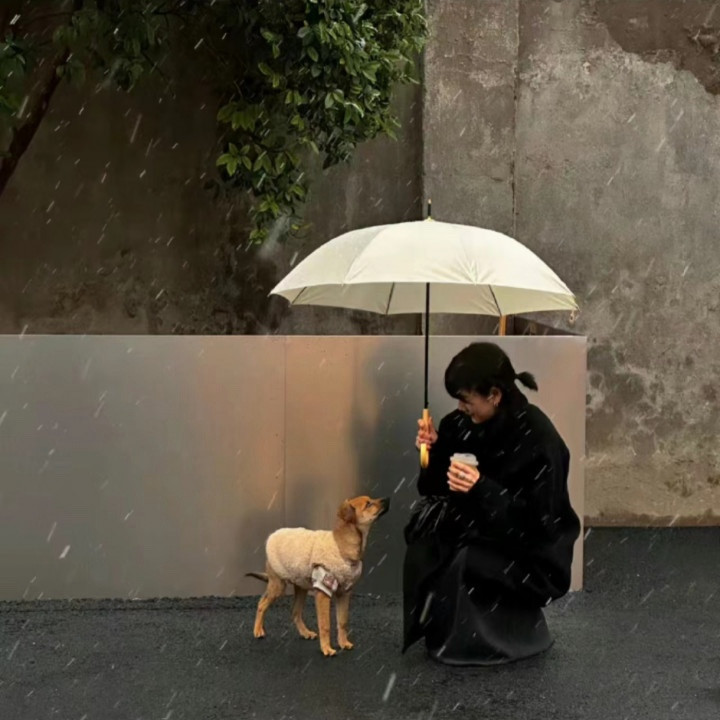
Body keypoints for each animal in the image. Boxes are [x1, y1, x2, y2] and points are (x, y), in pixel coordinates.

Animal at [246, 495, 390, 657]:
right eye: (368, 504)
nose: (388, 498)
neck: (342, 546)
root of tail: (274, 535)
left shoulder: (344, 593)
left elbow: (342, 621)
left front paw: (343, 643)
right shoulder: (323, 591)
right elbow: (325, 624)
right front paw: (326, 649)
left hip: (301, 587)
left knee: (295, 612)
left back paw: (305, 633)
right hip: (278, 586)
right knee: (261, 604)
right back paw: (258, 630)